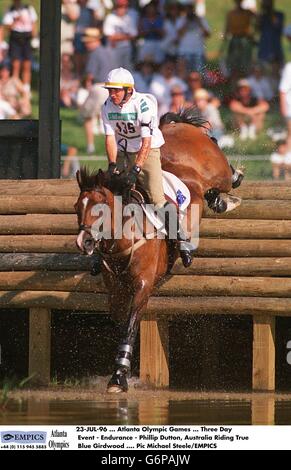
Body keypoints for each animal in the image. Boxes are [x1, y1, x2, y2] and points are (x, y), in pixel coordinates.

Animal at [74, 107, 243, 392]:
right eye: (77, 208)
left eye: (100, 208)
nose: (83, 242)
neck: (126, 237)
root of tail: (177, 127)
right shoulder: (116, 290)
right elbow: (120, 320)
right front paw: (122, 370)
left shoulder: (143, 284)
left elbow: (130, 325)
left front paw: (119, 376)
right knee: (210, 192)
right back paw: (218, 201)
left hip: (215, 169)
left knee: (224, 175)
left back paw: (232, 183)